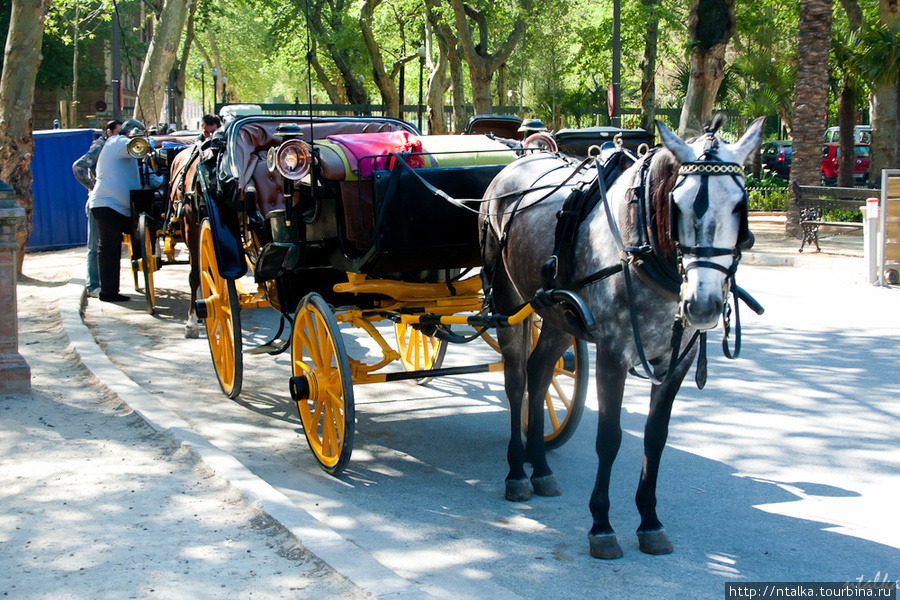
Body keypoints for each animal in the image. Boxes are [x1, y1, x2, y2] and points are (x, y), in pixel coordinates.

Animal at [482, 116, 764, 556]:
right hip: (508, 302)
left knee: (539, 373)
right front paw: (601, 524)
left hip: (558, 316)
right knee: (515, 382)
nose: (703, 305)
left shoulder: (677, 362)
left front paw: (649, 520)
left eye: (740, 205)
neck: (645, 245)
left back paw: (540, 466)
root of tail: (516, 163)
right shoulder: (613, 352)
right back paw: (516, 471)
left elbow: (655, 438)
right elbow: (609, 438)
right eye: (677, 203)